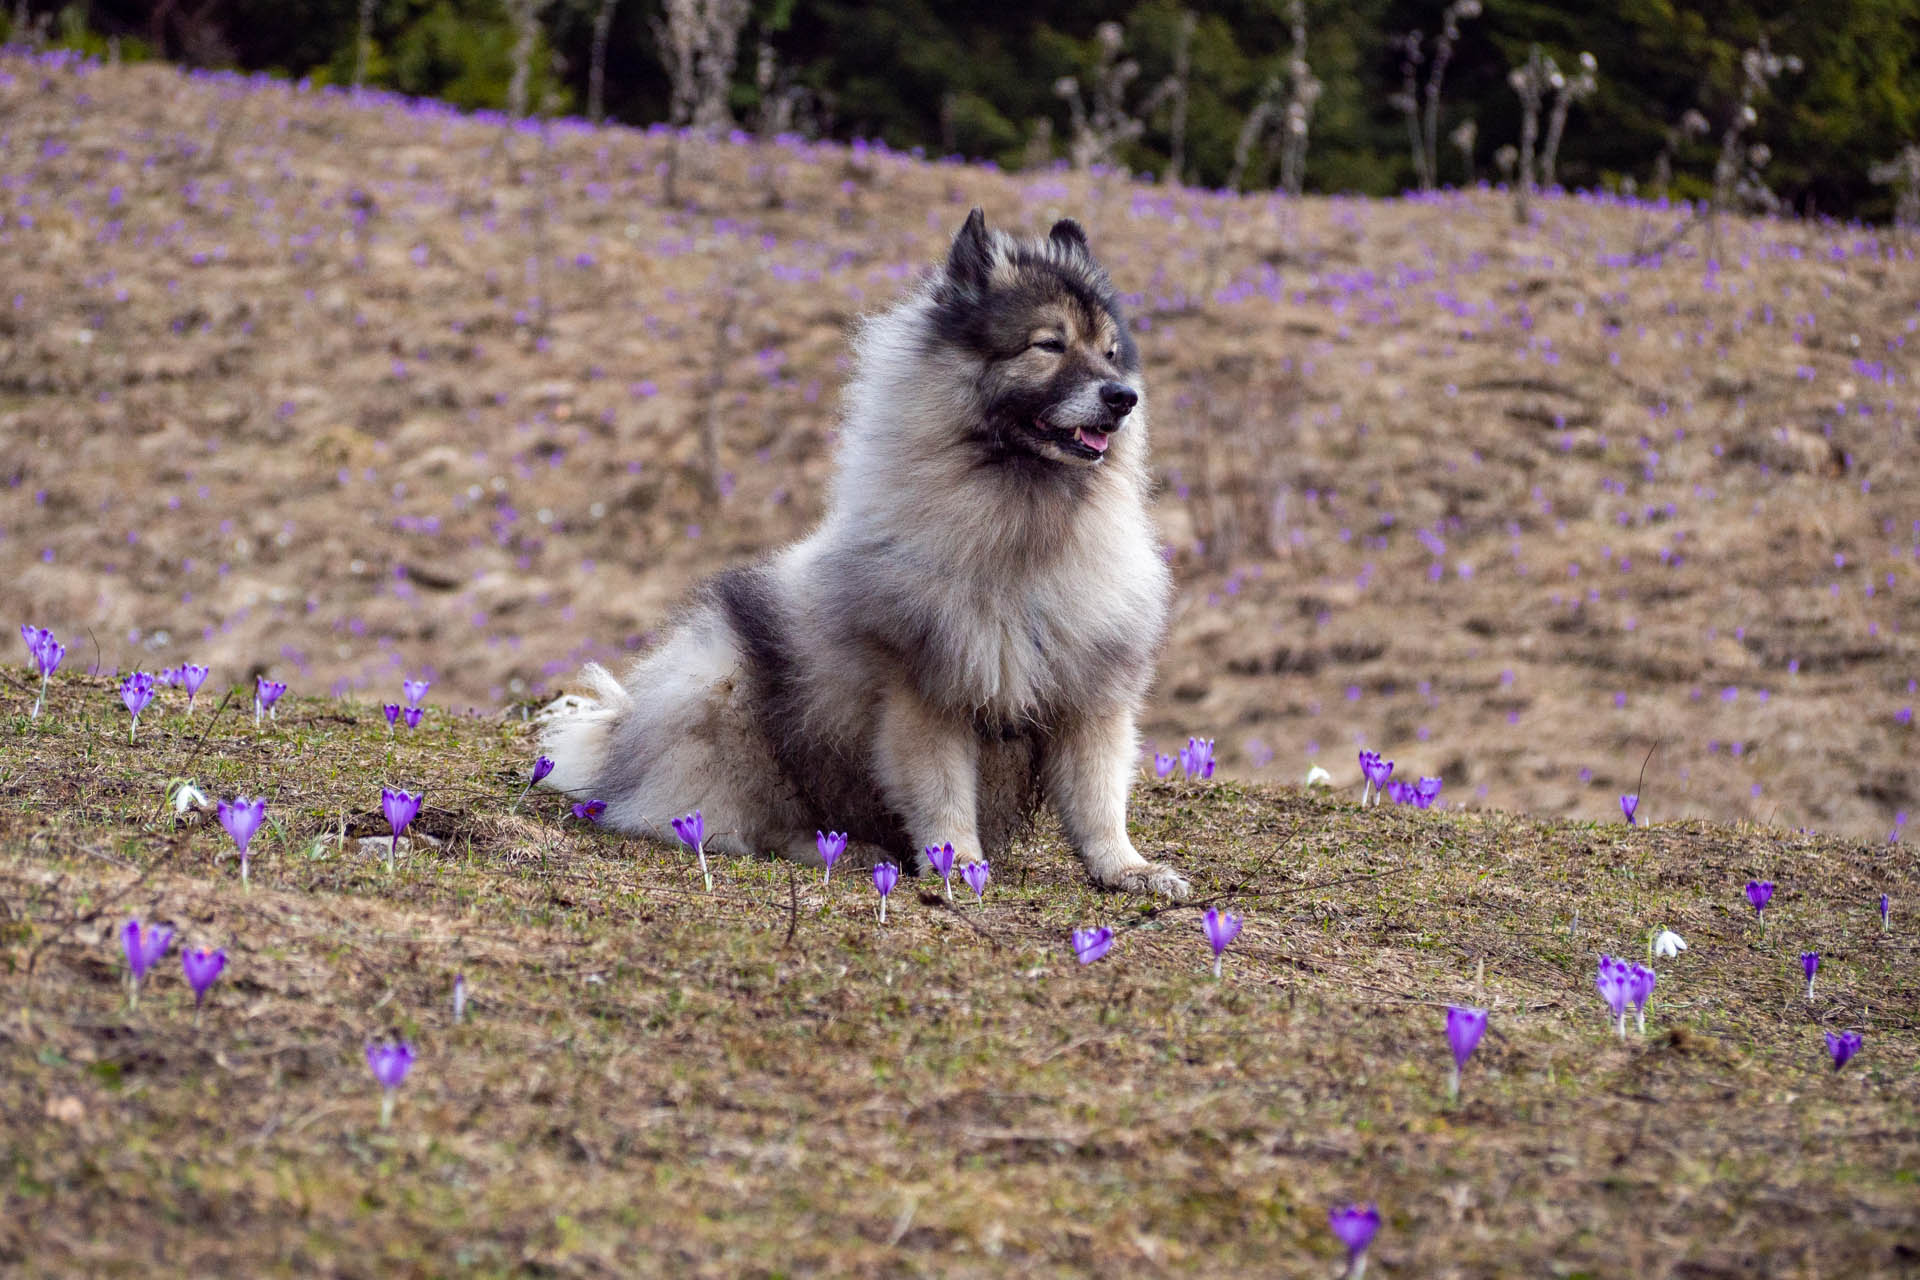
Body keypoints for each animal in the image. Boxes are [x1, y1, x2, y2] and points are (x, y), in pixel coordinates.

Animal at [529, 205, 1182, 898]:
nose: (1122, 398)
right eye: (1049, 345)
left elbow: (1099, 799)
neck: (1023, 524)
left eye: (1110, 354)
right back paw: (843, 847)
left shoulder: (1090, 694)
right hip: (721, 688)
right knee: (744, 823)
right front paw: (958, 863)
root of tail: (619, 740)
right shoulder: (926, 694)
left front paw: (1128, 869)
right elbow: (943, 794)